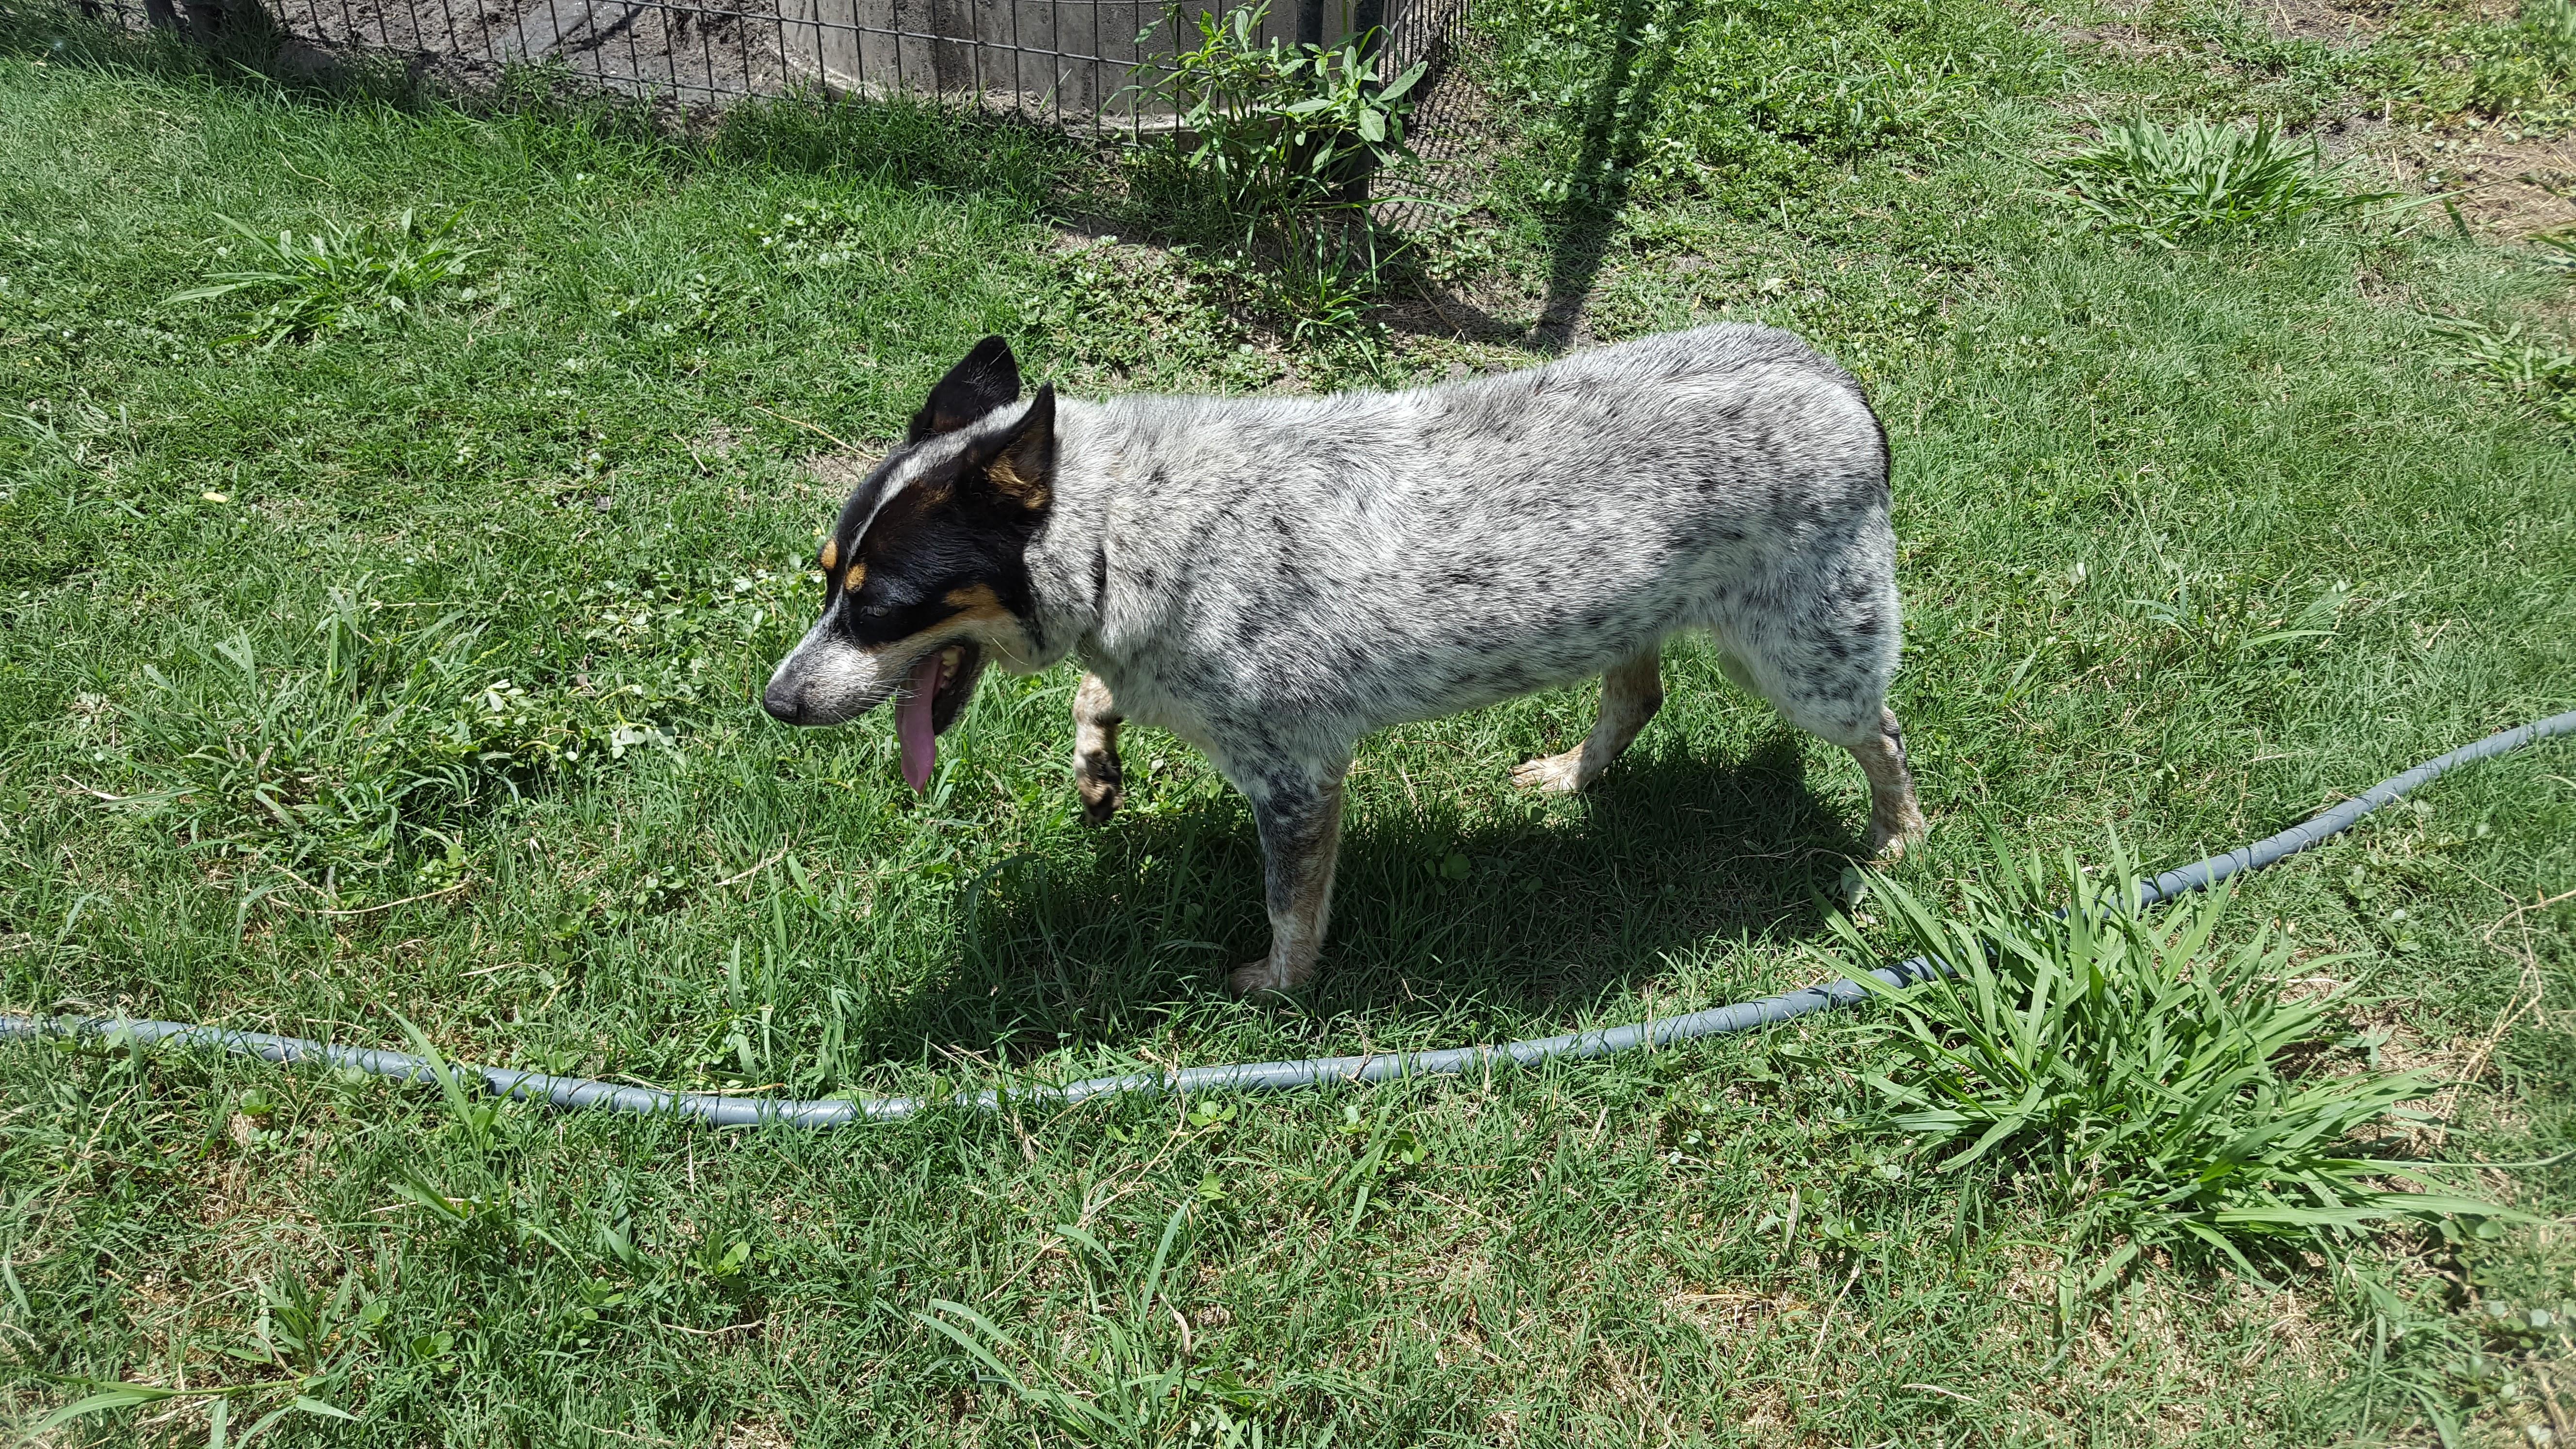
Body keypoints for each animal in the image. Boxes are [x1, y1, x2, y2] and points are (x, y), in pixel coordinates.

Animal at [752, 327, 1927, 990]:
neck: (1123, 535)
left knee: (1882, 734)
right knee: (1638, 694)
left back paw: (1894, 843)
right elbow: (1097, 697)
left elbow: (1290, 906)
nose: (775, 702)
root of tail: (1845, 387)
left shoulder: (1296, 777)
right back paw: (1569, 777)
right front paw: (1096, 764)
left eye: (881, 606)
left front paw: (1281, 985)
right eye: (826, 578)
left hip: (1804, 661)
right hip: (1630, 619)